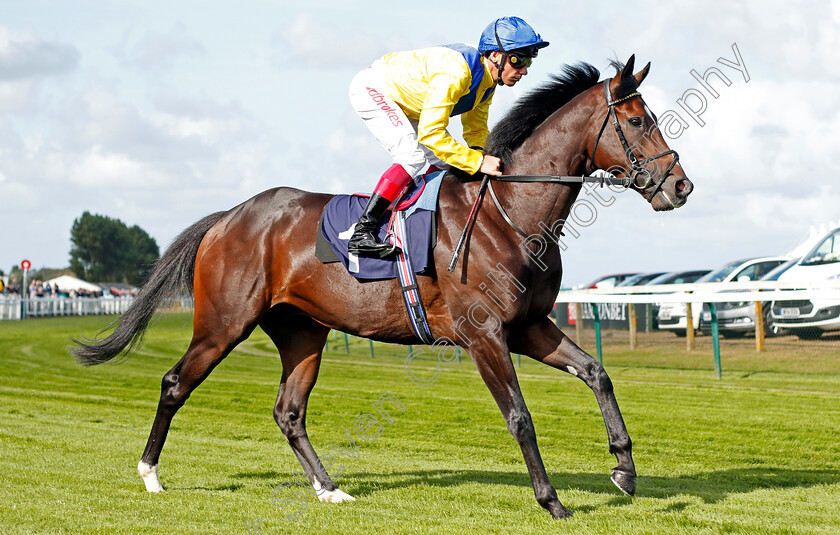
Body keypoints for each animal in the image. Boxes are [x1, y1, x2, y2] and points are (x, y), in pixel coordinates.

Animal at [75, 55, 696, 520]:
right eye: (638, 121)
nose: (681, 186)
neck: (509, 212)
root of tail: (229, 216)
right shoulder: (485, 335)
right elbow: (520, 415)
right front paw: (552, 501)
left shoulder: (528, 326)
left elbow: (597, 373)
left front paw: (623, 469)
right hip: (224, 323)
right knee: (175, 382)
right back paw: (150, 474)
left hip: (303, 333)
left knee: (289, 412)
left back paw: (329, 488)